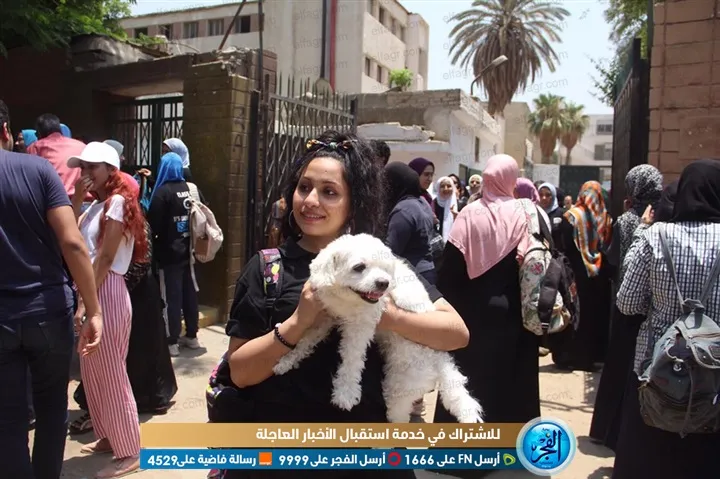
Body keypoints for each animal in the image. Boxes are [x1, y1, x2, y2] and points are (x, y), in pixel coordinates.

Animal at [272, 234, 484, 423]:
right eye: (359, 267)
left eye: (385, 269)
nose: (384, 283)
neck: (346, 299)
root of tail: (440, 361)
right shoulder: (325, 317)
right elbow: (305, 341)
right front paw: (287, 360)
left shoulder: (360, 326)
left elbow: (351, 360)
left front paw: (345, 392)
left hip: (401, 386)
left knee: (398, 414)